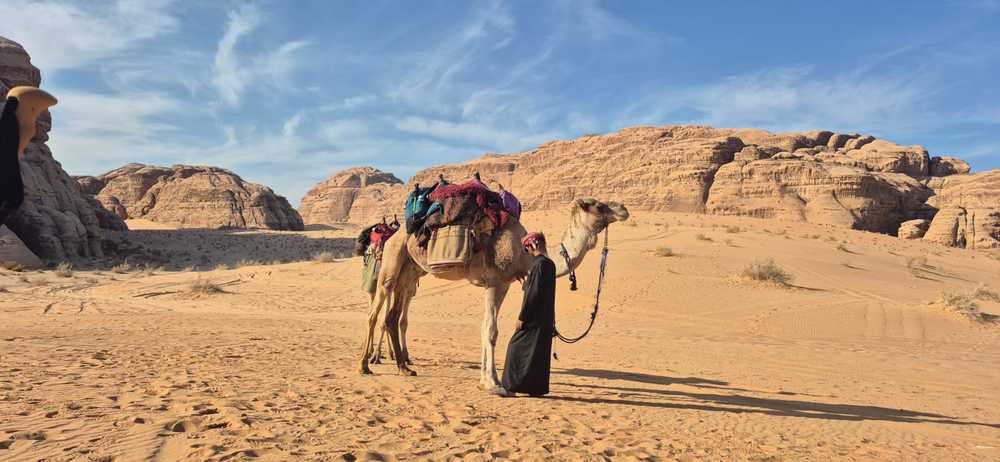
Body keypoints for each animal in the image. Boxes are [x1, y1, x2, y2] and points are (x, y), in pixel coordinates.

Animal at [358, 197, 629, 391]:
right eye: (598, 205)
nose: (624, 209)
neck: (524, 254)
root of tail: (394, 234)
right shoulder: (496, 282)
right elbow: (490, 329)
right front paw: (494, 383)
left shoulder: (502, 284)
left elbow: (485, 328)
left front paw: (484, 379)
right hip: (391, 264)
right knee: (374, 313)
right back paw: (365, 365)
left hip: (410, 272)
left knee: (393, 317)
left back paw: (404, 368)